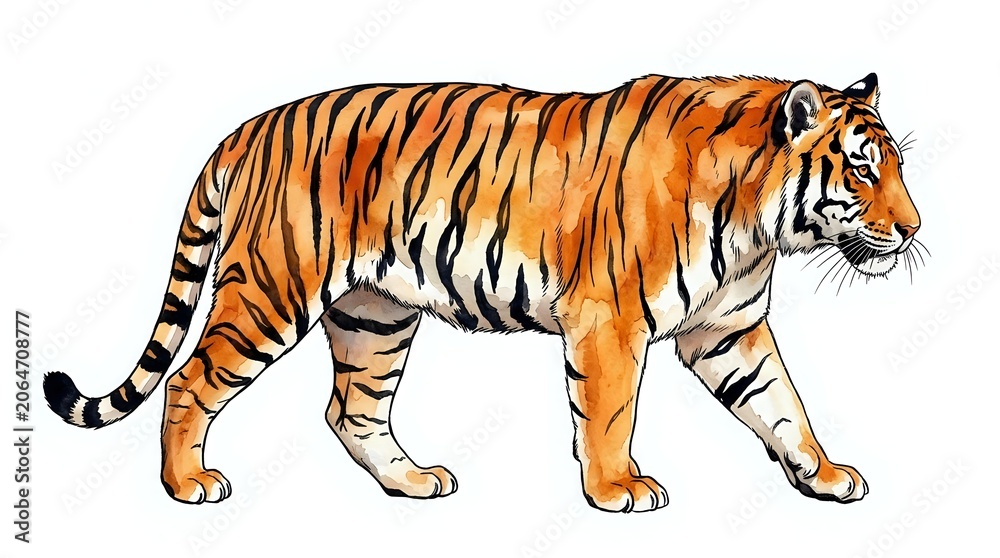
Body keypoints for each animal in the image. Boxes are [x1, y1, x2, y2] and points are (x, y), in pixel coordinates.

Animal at [43, 72, 920, 512]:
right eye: (862, 168)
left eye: (899, 166)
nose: (913, 230)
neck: (756, 223)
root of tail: (246, 128)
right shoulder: (610, 319)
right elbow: (610, 412)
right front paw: (617, 490)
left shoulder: (728, 328)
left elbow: (785, 405)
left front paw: (825, 475)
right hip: (270, 291)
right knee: (189, 380)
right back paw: (187, 486)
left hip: (374, 315)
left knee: (350, 410)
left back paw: (412, 482)